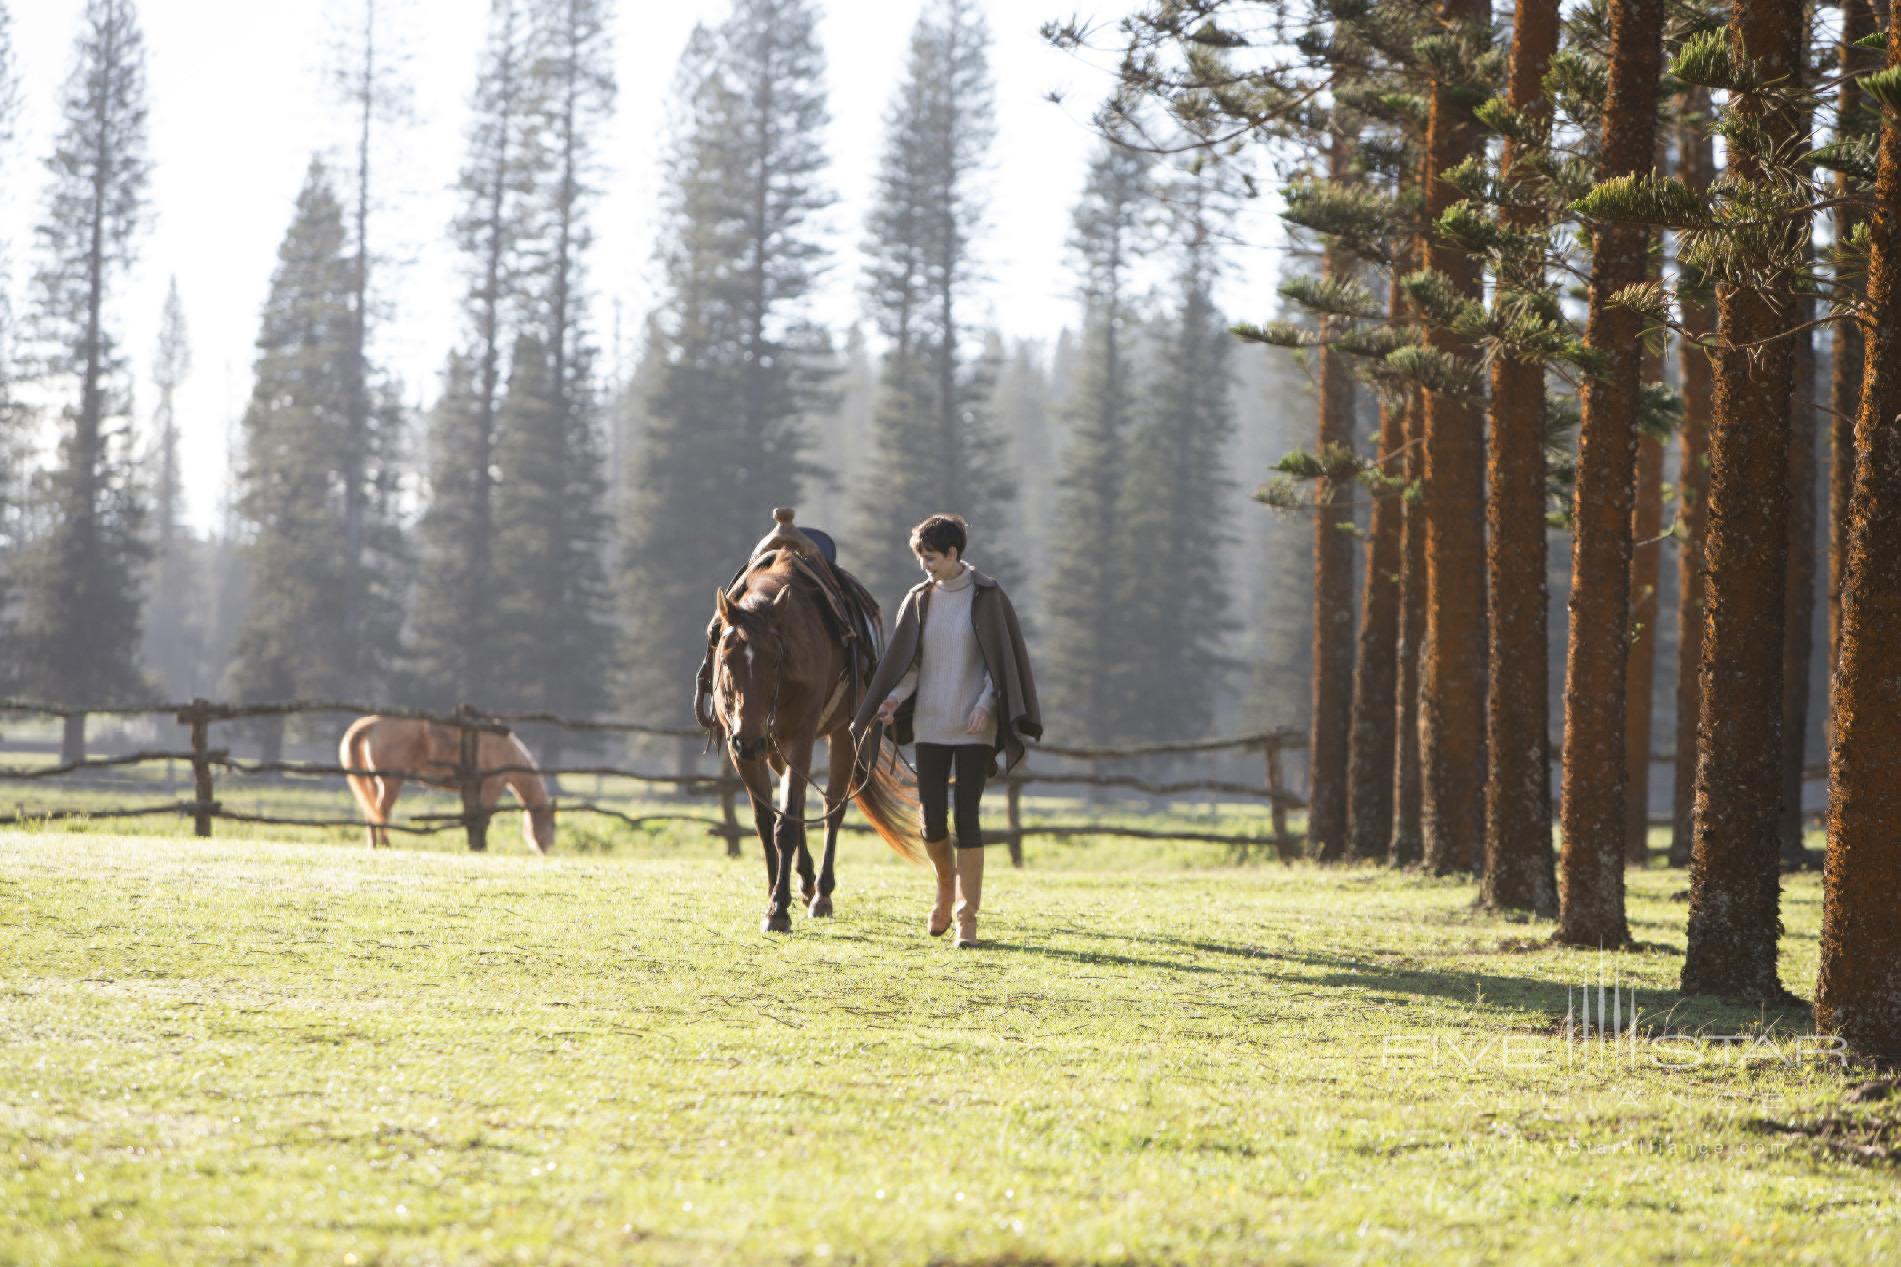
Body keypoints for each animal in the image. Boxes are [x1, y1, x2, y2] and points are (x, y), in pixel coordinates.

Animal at [338, 715, 555, 852]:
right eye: (552, 824)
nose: (547, 849)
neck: (504, 748)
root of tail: (370, 724)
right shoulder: (492, 785)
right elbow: (484, 817)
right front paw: (481, 846)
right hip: (391, 781)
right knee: (382, 811)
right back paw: (385, 844)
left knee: (372, 811)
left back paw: (374, 844)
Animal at [710, 544, 923, 928]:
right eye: (726, 656)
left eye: (774, 660)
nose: (749, 739)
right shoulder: (743, 751)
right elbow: (766, 821)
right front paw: (773, 894)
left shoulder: (799, 738)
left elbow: (786, 826)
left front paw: (778, 909)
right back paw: (806, 882)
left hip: (839, 736)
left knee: (832, 808)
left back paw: (821, 893)